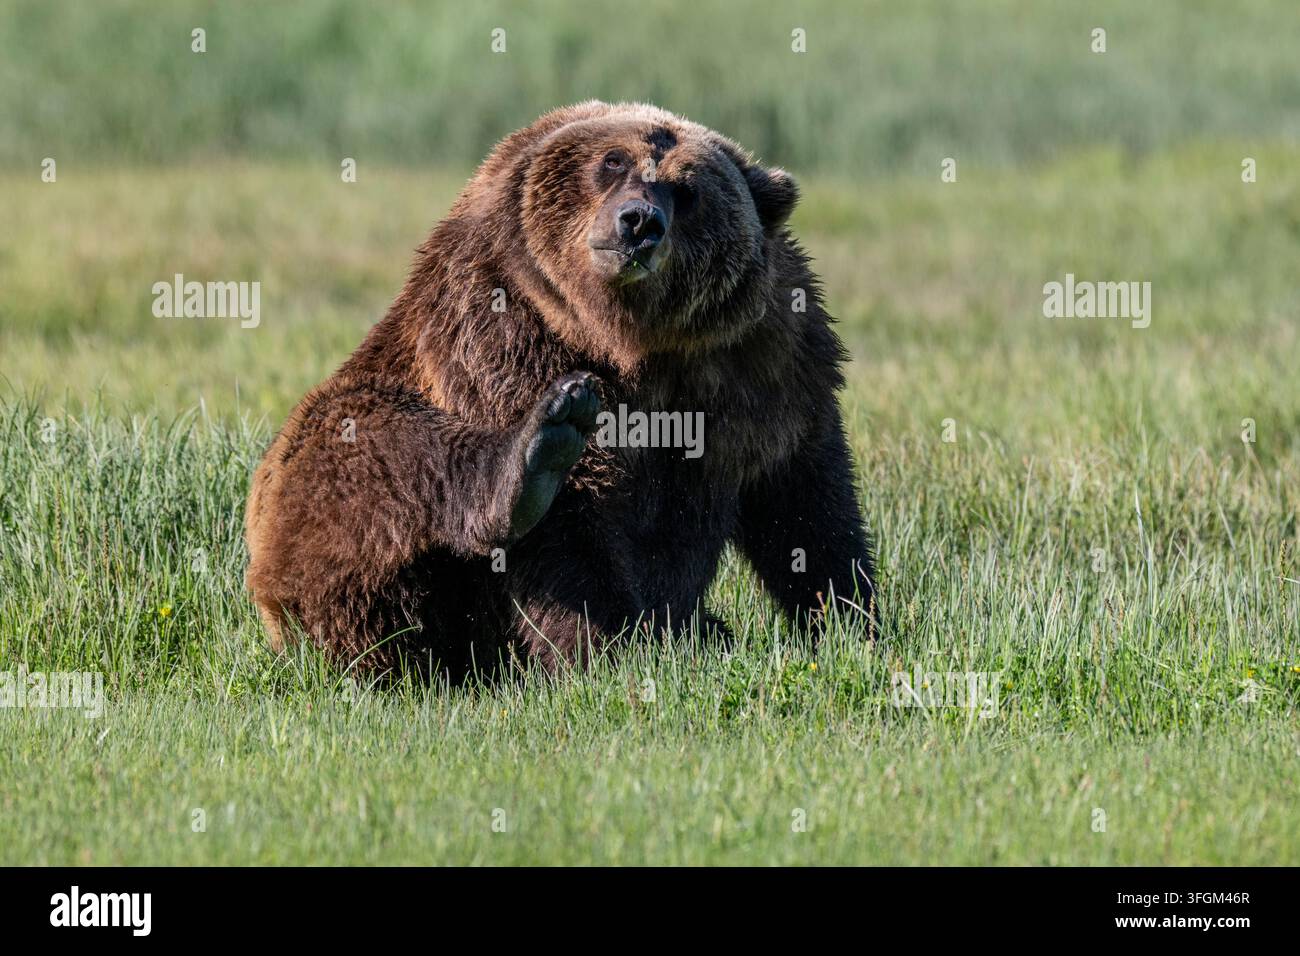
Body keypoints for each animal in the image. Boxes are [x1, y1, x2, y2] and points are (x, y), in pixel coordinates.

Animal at [244, 101, 875, 680]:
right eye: (612, 161)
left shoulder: (762, 354)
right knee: (362, 450)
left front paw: (849, 619)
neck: (634, 344)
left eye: (687, 189)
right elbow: (569, 526)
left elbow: (804, 498)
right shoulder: (507, 327)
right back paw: (531, 461)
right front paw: (609, 647)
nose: (638, 221)